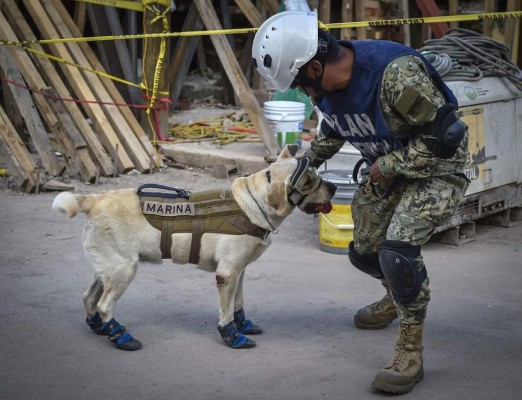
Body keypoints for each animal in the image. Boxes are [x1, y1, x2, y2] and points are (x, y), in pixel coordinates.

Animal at [51, 145, 334, 352]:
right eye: (309, 181)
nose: (333, 187)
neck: (255, 202)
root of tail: (95, 198)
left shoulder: (239, 272)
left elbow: (238, 302)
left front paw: (243, 324)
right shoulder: (227, 275)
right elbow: (226, 312)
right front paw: (233, 336)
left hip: (108, 267)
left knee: (89, 298)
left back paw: (101, 328)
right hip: (124, 269)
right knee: (104, 305)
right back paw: (121, 337)